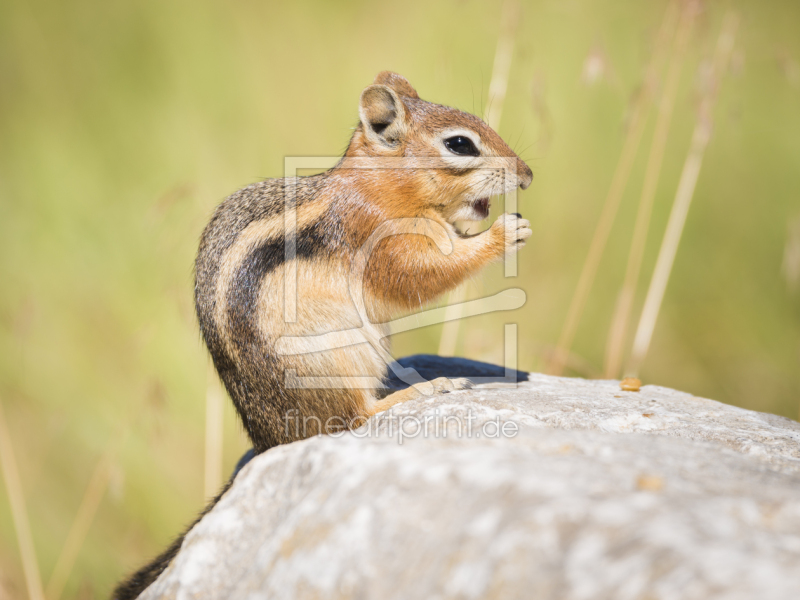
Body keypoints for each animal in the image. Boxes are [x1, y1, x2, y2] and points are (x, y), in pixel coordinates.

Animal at [112, 72, 536, 596]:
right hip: (336, 355)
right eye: (460, 144)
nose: (527, 175)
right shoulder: (379, 237)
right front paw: (502, 234)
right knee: (353, 417)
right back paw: (423, 388)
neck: (381, 187)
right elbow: (421, 274)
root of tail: (274, 439)